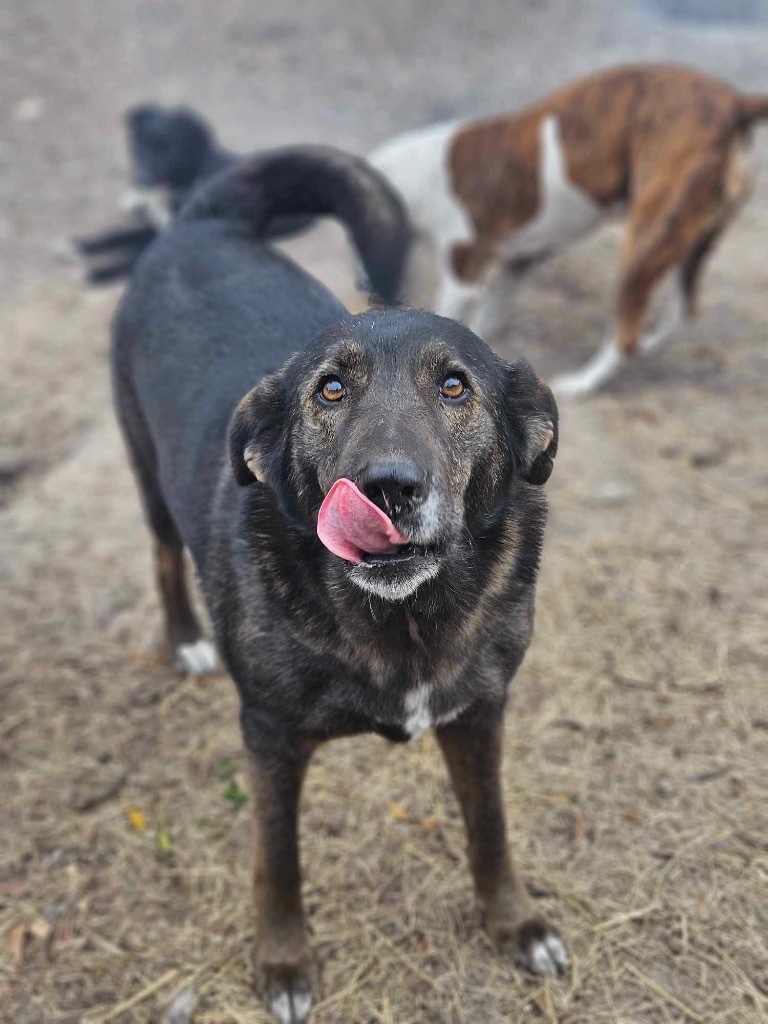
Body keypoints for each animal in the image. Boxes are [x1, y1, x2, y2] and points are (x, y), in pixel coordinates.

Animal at [75, 105, 309, 284]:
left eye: (168, 151)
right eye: (139, 147)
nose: (142, 178)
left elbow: (133, 253)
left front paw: (97, 274)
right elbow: (117, 235)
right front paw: (80, 245)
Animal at [112, 146, 565, 1024]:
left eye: (455, 387)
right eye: (330, 389)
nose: (388, 488)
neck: (406, 618)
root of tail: (203, 218)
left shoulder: (482, 713)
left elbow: (490, 827)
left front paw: (516, 924)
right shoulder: (270, 739)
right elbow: (277, 860)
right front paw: (285, 964)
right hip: (145, 474)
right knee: (159, 555)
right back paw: (185, 641)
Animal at [370, 66, 765, 395]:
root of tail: (736, 103)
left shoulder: (463, 275)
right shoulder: (519, 264)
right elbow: (485, 325)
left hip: (643, 243)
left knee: (627, 333)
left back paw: (582, 382)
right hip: (690, 244)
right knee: (678, 309)